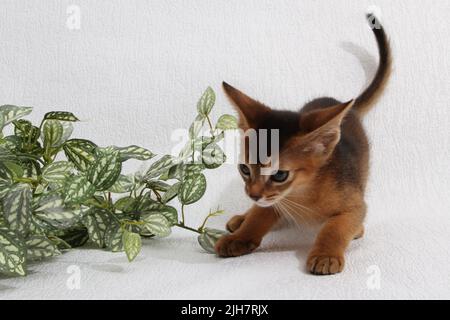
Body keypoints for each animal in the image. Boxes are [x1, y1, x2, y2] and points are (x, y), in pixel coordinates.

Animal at [214, 14, 390, 276]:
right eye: (244, 169)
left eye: (280, 175)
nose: (252, 194)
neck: (303, 194)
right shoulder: (272, 201)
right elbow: (259, 215)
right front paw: (241, 236)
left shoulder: (356, 205)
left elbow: (335, 227)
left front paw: (326, 255)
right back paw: (240, 219)